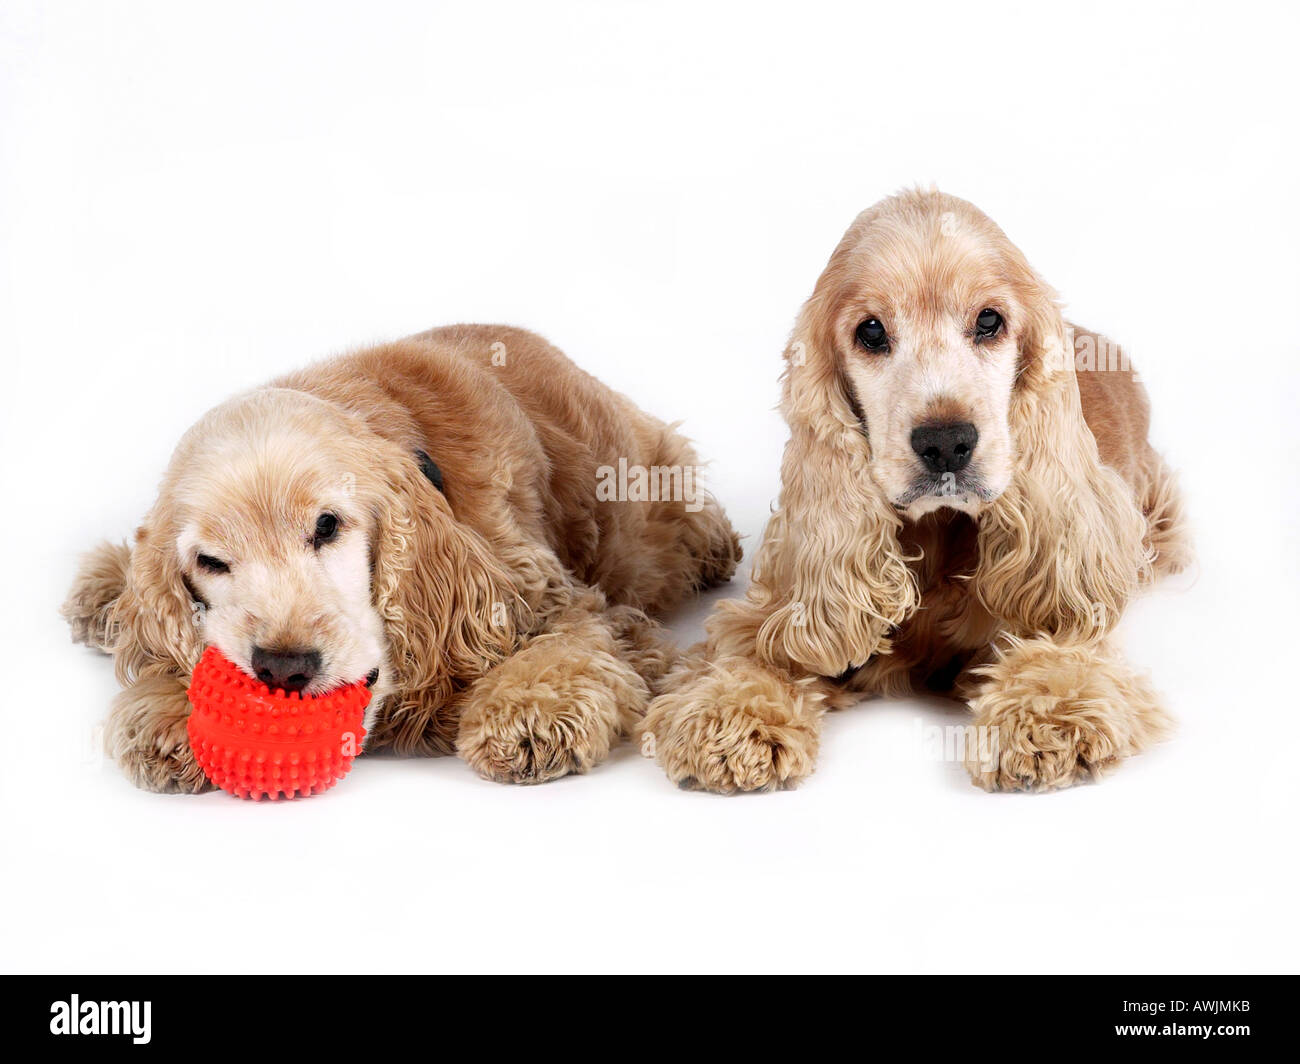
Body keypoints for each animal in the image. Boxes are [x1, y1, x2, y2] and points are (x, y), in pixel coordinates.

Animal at [63, 323, 743, 785]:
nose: (284, 667)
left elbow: (574, 644)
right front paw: (166, 709)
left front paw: (528, 712)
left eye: (327, 526)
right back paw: (104, 592)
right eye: (210, 562)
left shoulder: (555, 595)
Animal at [639, 188, 1190, 785]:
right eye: (871, 331)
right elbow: (751, 647)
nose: (946, 443)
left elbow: (1061, 649)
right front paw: (729, 715)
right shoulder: (788, 606)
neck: (937, 535)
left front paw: (1048, 718)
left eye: (989, 320)